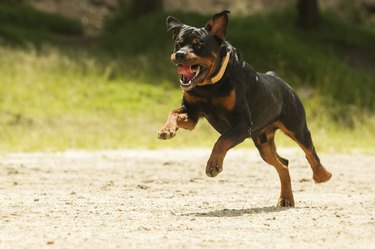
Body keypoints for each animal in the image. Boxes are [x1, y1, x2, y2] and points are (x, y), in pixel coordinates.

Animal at [157, 10, 334, 207]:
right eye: (178, 44)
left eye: (198, 45)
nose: (179, 54)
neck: (210, 85)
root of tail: (280, 80)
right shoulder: (192, 113)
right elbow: (173, 113)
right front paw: (167, 130)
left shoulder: (242, 124)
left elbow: (221, 141)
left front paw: (213, 165)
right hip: (263, 143)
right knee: (283, 164)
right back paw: (286, 198)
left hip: (296, 127)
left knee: (310, 152)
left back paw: (322, 175)